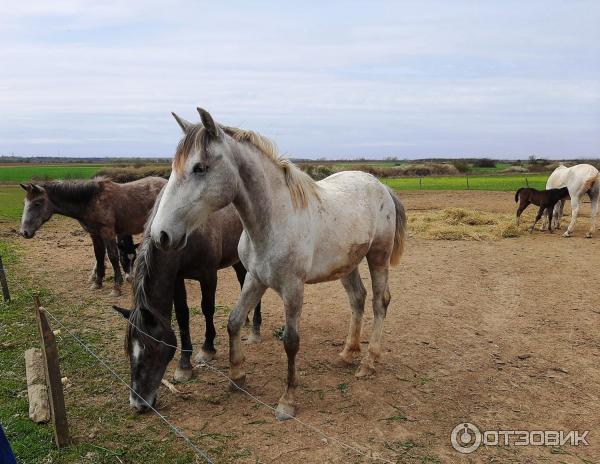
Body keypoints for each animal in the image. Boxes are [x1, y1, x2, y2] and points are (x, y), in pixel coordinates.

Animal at [19, 176, 165, 296]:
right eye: (25, 202)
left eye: (37, 203)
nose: (24, 232)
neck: (91, 201)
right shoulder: (95, 234)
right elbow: (99, 255)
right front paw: (97, 282)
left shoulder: (107, 232)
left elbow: (112, 256)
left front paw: (116, 287)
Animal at [150, 109, 408, 420]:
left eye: (199, 167)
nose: (161, 235)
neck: (274, 219)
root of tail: (381, 186)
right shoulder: (254, 279)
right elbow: (234, 322)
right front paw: (237, 378)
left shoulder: (292, 288)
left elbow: (291, 341)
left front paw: (287, 401)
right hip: (348, 264)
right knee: (358, 299)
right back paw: (347, 354)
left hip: (378, 257)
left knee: (380, 302)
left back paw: (368, 363)